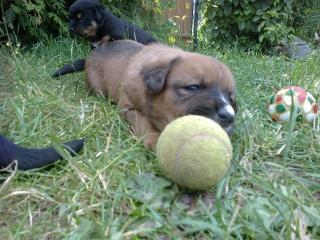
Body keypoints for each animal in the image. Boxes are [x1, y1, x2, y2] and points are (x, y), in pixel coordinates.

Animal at [84, 41, 236, 150]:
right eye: (193, 87)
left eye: (231, 98)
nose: (229, 117)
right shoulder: (127, 107)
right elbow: (143, 121)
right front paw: (155, 140)